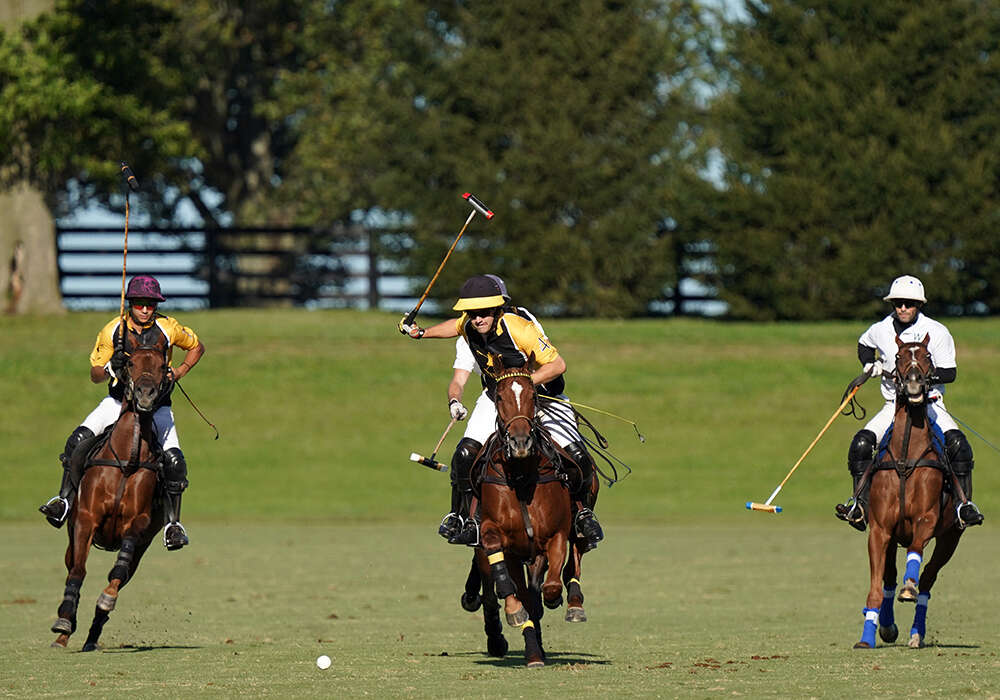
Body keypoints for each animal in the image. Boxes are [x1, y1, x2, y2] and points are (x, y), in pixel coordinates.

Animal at [51, 334, 172, 652]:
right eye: (130, 363)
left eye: (162, 365)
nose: (145, 395)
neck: (127, 460)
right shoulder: (86, 519)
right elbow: (78, 572)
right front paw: (64, 622)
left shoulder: (138, 524)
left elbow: (117, 572)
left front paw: (106, 600)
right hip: (72, 532)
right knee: (72, 566)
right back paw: (66, 629)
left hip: (143, 546)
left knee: (122, 573)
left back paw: (93, 636)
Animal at [856, 336, 964, 648]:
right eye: (898, 356)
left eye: (928, 356)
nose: (915, 384)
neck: (906, 457)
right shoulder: (881, 529)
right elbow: (877, 586)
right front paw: (867, 637)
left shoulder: (925, 520)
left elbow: (915, 553)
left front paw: (909, 588)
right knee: (889, 578)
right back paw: (887, 626)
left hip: (951, 538)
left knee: (927, 579)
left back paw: (917, 632)